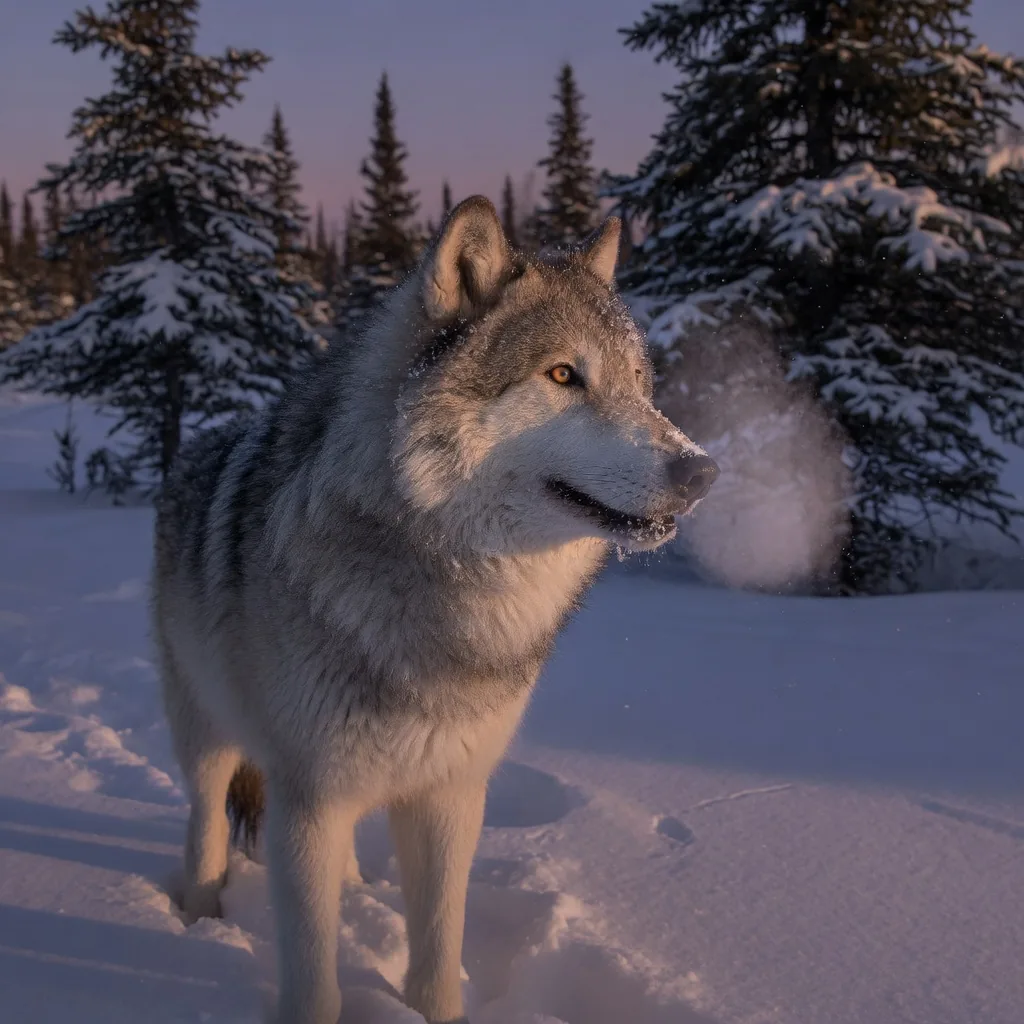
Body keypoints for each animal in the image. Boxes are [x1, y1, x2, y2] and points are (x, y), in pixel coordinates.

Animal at [151, 196, 717, 1024]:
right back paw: (197, 911)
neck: (446, 592)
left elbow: (438, 952)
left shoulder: (450, 796)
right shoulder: (309, 798)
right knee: (204, 822)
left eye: (642, 383)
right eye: (563, 375)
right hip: (206, 733)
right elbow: (314, 978)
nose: (704, 472)